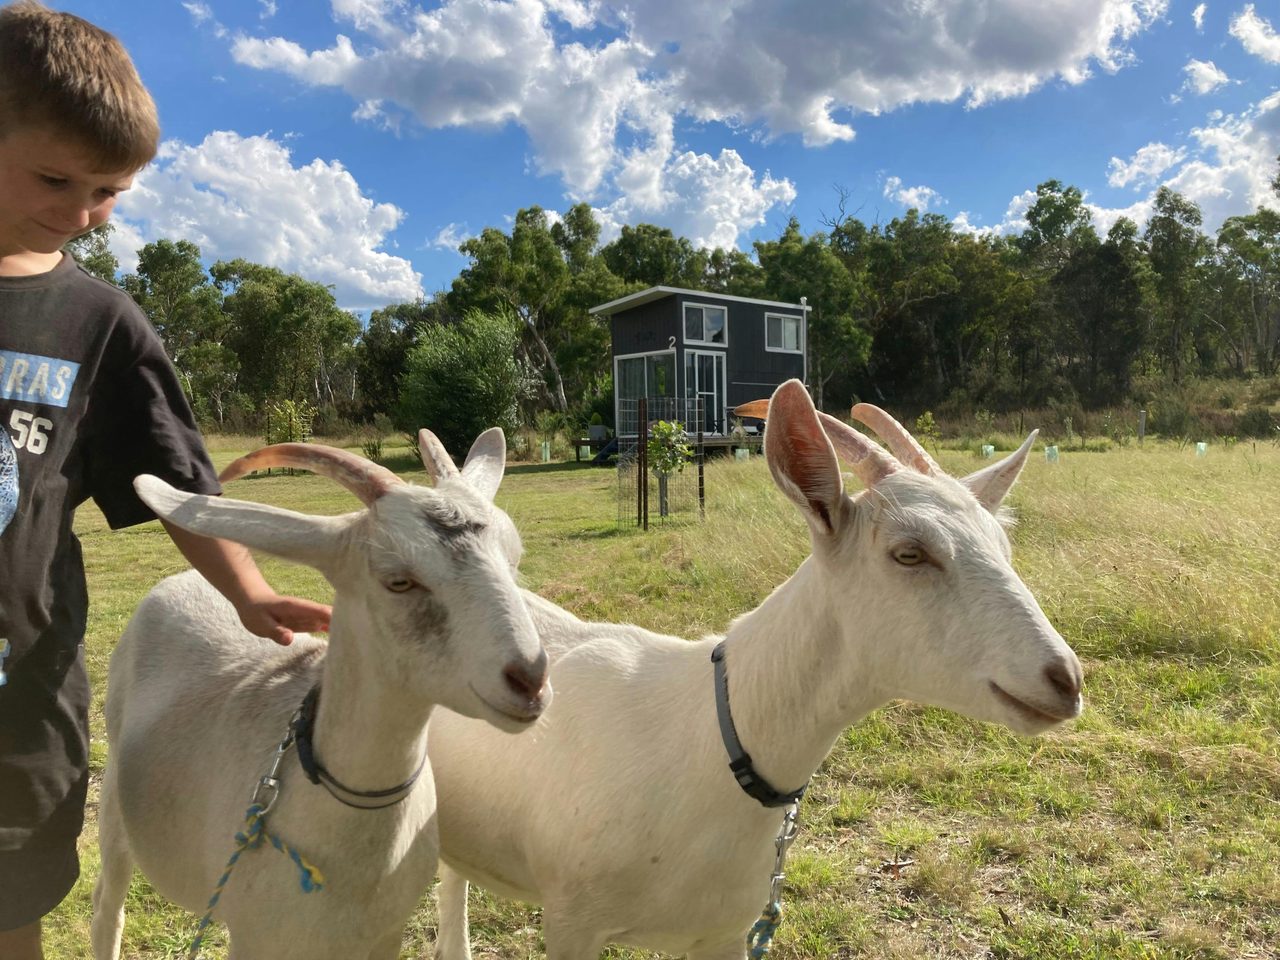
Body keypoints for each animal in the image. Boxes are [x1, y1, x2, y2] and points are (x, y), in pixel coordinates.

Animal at [90, 430, 551, 960]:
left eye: (513, 557)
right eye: (399, 580)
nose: (530, 679)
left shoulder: (384, 934)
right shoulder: (255, 937)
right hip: (114, 807)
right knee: (108, 905)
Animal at [423, 379, 1083, 960]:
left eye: (1004, 547)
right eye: (909, 553)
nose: (1066, 680)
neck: (714, 738)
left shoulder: (723, 932)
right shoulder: (571, 923)